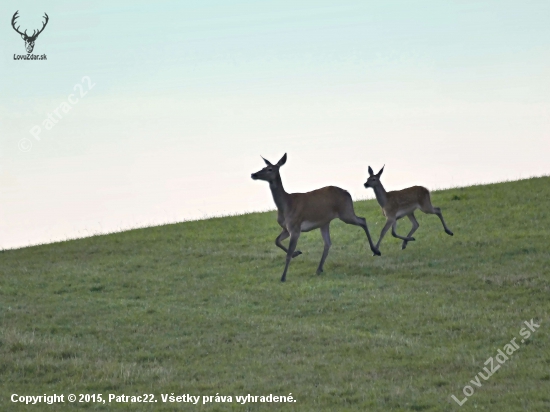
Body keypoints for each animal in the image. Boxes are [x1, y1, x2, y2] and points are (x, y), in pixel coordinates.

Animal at [252, 154, 382, 284]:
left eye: (270, 169)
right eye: (263, 167)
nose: (254, 174)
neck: (286, 205)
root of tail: (348, 193)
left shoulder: (295, 227)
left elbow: (288, 254)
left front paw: (283, 277)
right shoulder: (286, 228)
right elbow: (276, 241)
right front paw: (297, 253)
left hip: (346, 212)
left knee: (362, 220)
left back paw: (376, 251)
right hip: (325, 222)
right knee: (328, 242)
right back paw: (319, 269)